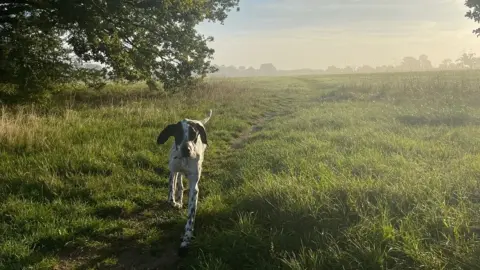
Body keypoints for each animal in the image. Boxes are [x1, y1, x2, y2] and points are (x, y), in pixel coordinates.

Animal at [157, 109, 213, 255]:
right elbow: (171, 192)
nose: (186, 149)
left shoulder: (194, 187)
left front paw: (187, 238)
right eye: (178, 133)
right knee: (178, 181)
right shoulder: (173, 170)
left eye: (194, 134)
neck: (184, 160)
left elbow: (191, 215)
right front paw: (175, 201)